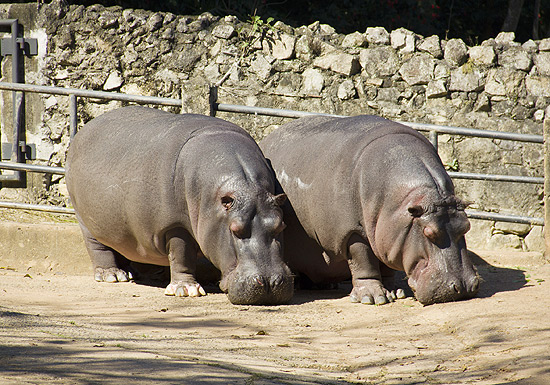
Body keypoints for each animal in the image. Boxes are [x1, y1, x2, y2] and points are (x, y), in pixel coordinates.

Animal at [67, 105, 296, 304]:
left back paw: (131, 273)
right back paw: (112, 275)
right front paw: (187, 290)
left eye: (281, 225)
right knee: (97, 247)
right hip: (85, 219)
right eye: (235, 229)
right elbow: (182, 254)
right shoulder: (175, 226)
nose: (270, 283)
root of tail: (84, 130)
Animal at [260, 114, 480, 304]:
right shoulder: (352, 231)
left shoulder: (388, 234)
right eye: (429, 233)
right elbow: (363, 260)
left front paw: (394, 292)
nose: (462, 287)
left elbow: (386, 264)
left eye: (467, 227)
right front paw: (373, 298)